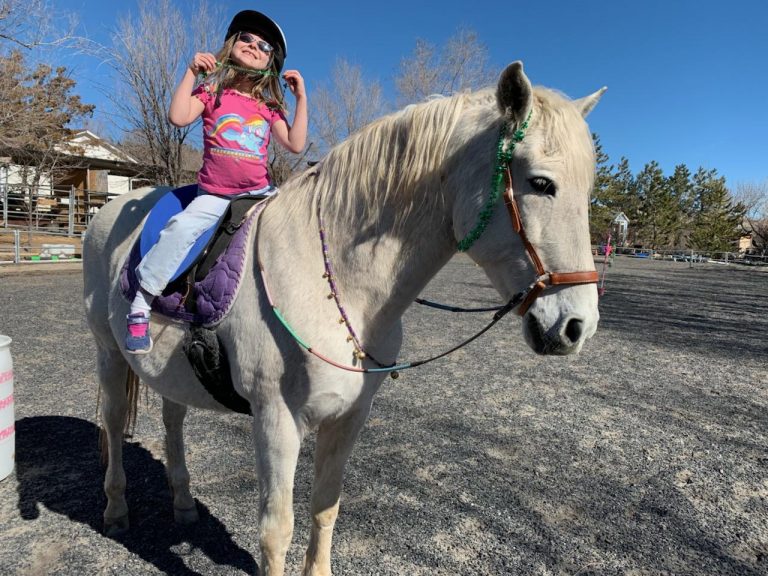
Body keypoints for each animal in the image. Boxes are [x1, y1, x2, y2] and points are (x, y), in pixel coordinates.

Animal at [81, 63, 604, 576]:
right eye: (540, 183)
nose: (577, 327)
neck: (339, 286)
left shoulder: (349, 417)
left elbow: (325, 507)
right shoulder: (275, 420)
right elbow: (277, 532)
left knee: (172, 419)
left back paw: (185, 505)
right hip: (109, 354)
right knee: (112, 421)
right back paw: (114, 510)